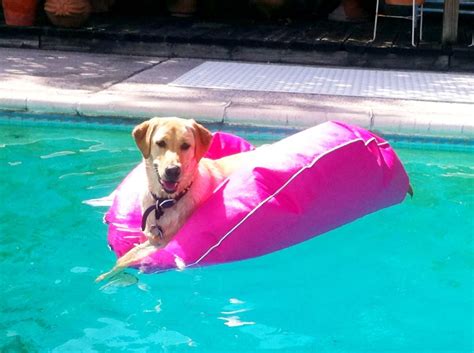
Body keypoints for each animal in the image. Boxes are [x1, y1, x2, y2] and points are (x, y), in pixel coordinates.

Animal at [95, 117, 248, 282]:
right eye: (161, 143)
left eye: (186, 145)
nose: (173, 171)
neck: (164, 202)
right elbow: (126, 256)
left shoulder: (164, 243)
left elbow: (129, 258)